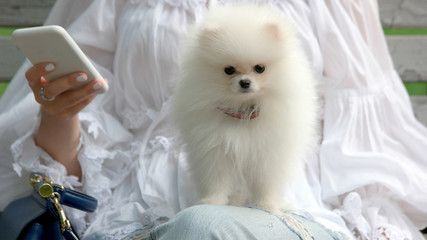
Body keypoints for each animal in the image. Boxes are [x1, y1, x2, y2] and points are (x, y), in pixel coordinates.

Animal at [171, 3, 318, 214]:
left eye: (260, 68)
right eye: (229, 70)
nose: (245, 82)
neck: (242, 111)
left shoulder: (267, 153)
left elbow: (265, 184)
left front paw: (266, 206)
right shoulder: (213, 152)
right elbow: (215, 181)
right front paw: (211, 202)